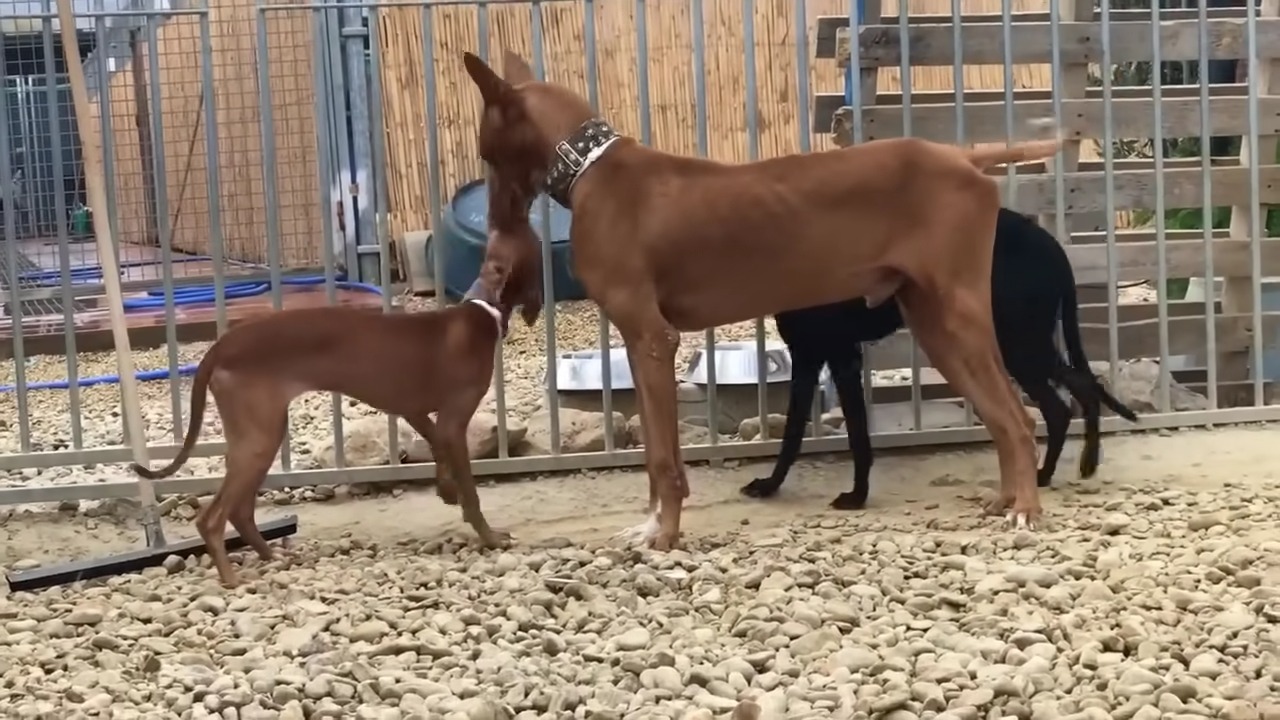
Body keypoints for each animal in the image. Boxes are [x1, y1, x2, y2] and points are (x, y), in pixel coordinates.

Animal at [465, 50, 1064, 545]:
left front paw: (666, 535)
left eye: (486, 152)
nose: (495, 226)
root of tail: (960, 156)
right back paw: (1007, 499)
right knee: (1002, 417)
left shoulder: (653, 338)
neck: (591, 166)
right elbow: (659, 452)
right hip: (936, 327)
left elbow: (663, 461)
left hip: (961, 317)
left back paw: (1026, 511)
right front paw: (652, 525)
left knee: (1017, 418)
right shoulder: (639, 347)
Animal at [742, 207, 1141, 509]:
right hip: (1021, 343)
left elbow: (853, 434)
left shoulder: (840, 356)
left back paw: (1083, 464)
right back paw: (1044, 475)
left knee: (1080, 388)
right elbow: (794, 432)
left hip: (1019, 343)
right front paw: (771, 485)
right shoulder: (809, 357)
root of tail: (1051, 244)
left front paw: (856, 496)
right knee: (1062, 403)